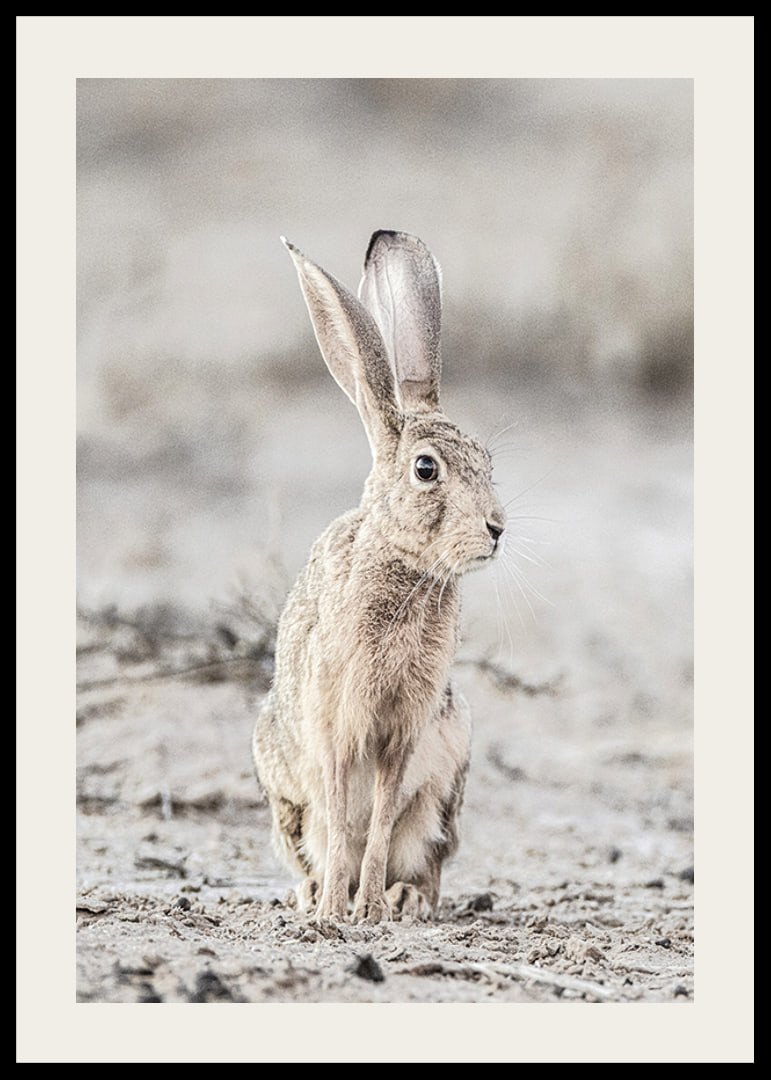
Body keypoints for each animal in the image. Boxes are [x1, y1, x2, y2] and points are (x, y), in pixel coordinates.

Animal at [252, 229, 506, 924]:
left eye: (487, 462)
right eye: (426, 470)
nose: (497, 529)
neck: (404, 567)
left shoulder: (405, 732)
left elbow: (383, 818)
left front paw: (368, 908)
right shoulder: (338, 724)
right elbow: (345, 818)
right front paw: (336, 911)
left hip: (448, 780)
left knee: (424, 857)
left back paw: (404, 897)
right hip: (285, 792)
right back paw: (312, 893)